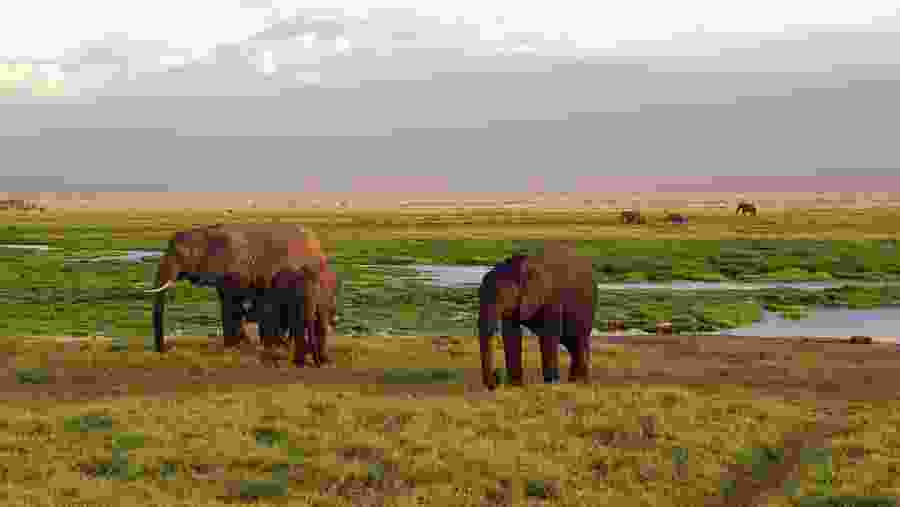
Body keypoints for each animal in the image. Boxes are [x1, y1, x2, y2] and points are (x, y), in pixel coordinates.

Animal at [144, 223, 328, 363]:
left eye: (179, 254)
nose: (162, 350)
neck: (205, 232)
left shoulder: (235, 270)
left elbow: (232, 303)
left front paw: (235, 345)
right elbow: (227, 302)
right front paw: (234, 344)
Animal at [478, 243, 597, 390]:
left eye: (501, 297)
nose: (497, 376)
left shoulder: (551, 297)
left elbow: (549, 334)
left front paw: (551, 383)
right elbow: (511, 335)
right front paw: (515, 385)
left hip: (588, 306)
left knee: (579, 339)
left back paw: (581, 382)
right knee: (571, 342)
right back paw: (574, 381)